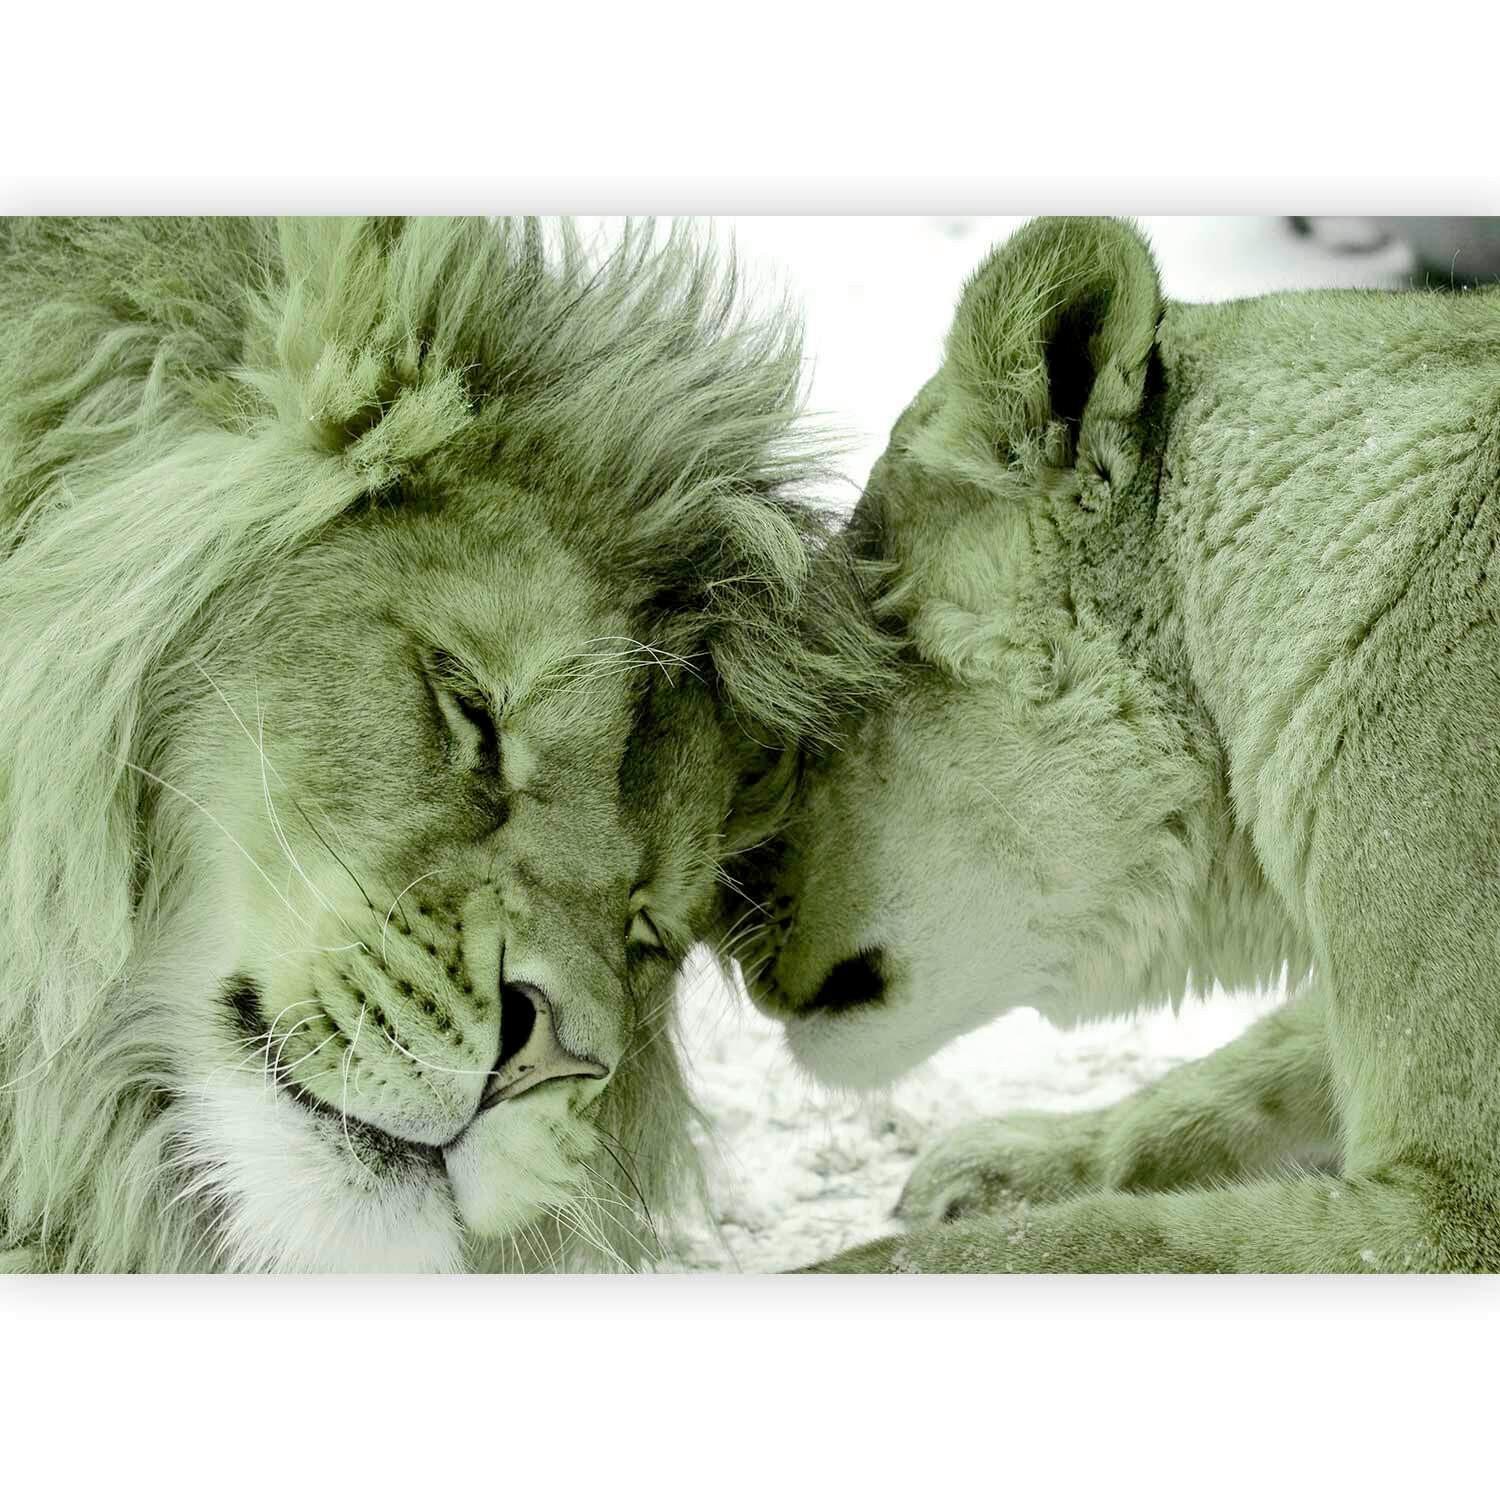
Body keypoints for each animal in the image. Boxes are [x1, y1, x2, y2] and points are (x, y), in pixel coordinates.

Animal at [733, 215, 1500, 1272]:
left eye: (822, 701)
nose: (721, 920)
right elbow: (1239, 1075)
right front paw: (999, 1162)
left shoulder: (1452, 1214)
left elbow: (1084, 1243)